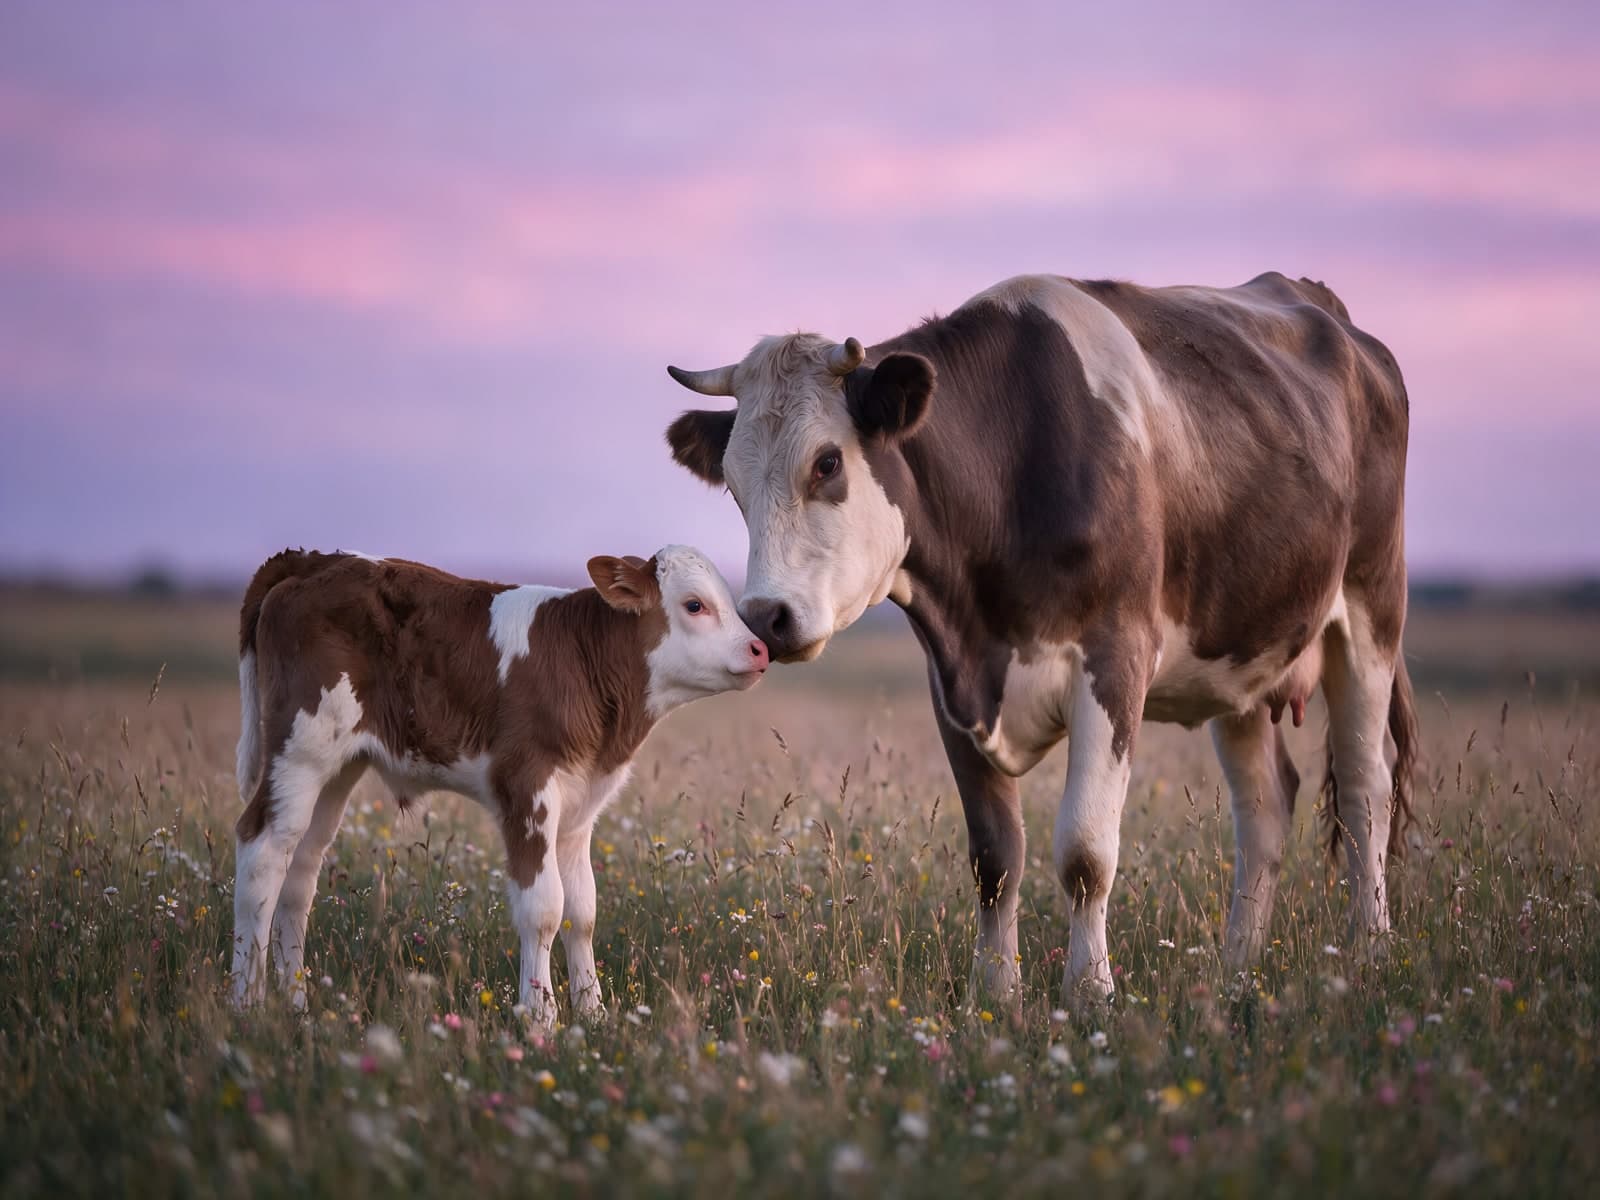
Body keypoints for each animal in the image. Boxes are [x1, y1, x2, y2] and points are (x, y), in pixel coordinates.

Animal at [231, 546, 768, 1023]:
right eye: (695, 604)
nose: (761, 648)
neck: (583, 663)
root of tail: (314, 560)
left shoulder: (580, 808)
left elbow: (583, 910)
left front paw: (593, 1015)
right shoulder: (525, 787)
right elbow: (544, 907)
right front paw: (541, 1017)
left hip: (336, 769)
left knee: (299, 870)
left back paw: (296, 1003)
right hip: (298, 750)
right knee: (262, 855)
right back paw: (248, 1004)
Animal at [663, 272, 1416, 1009]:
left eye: (826, 463)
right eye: (733, 482)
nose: (765, 616)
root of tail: (1325, 308)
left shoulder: (1116, 659)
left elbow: (1085, 852)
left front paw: (1088, 994)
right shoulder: (952, 679)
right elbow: (994, 856)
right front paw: (995, 996)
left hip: (1371, 608)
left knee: (1364, 786)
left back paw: (1370, 953)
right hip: (1239, 653)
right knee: (1265, 806)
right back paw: (1236, 973)